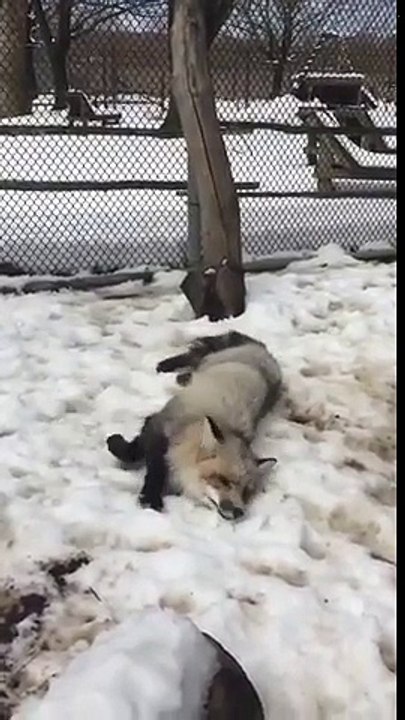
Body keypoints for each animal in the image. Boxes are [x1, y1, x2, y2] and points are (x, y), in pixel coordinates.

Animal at [106, 331, 282, 520]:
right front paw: (150, 498)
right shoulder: (161, 424)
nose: (238, 512)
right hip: (211, 360)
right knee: (195, 355)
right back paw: (168, 367)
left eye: (246, 492)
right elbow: (146, 462)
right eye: (222, 480)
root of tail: (267, 354)